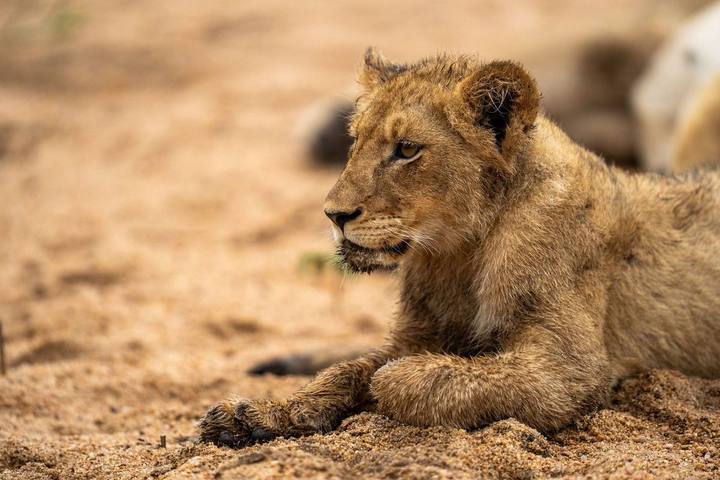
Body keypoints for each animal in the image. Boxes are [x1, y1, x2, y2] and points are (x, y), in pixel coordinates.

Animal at [199, 49, 720, 447]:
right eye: (354, 142)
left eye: (407, 149)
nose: (334, 215)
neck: (460, 252)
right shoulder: (417, 333)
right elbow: (345, 370)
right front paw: (261, 416)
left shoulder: (571, 371)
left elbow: (404, 376)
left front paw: (386, 382)